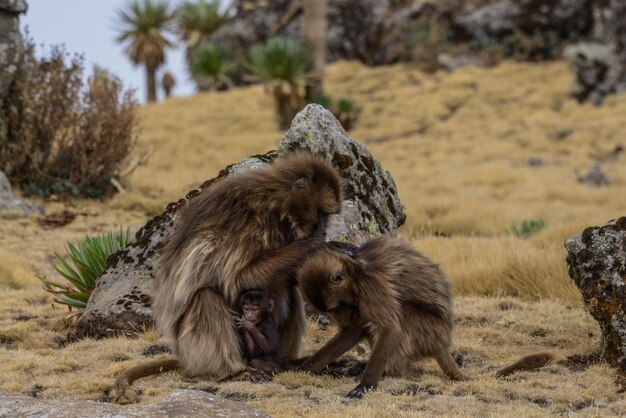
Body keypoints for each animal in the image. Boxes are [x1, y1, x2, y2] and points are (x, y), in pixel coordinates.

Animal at [114, 152, 344, 404]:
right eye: (321, 214)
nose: (323, 231)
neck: (277, 207)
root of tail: (184, 357)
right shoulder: (250, 225)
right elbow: (236, 279)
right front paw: (313, 247)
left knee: (289, 291)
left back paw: (282, 363)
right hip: (193, 348)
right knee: (206, 297)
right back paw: (235, 371)